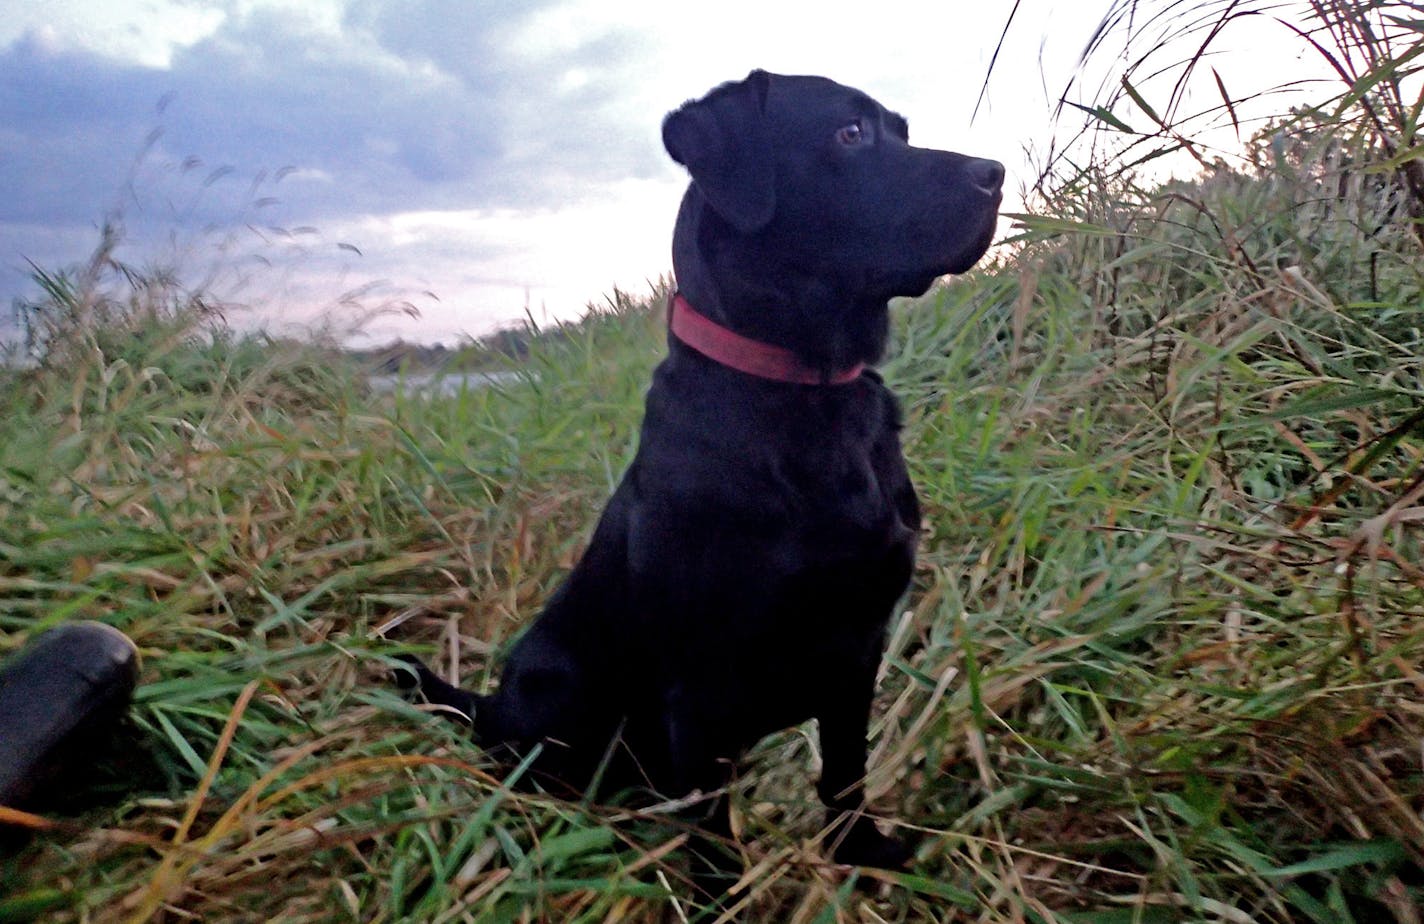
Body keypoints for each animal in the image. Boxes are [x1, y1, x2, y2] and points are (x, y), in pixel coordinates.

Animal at [401, 71, 1002, 871]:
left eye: (902, 130)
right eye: (850, 133)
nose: (996, 174)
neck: (805, 393)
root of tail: (491, 704)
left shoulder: (860, 645)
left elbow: (845, 770)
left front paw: (862, 854)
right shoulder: (698, 687)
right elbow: (715, 842)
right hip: (553, 682)